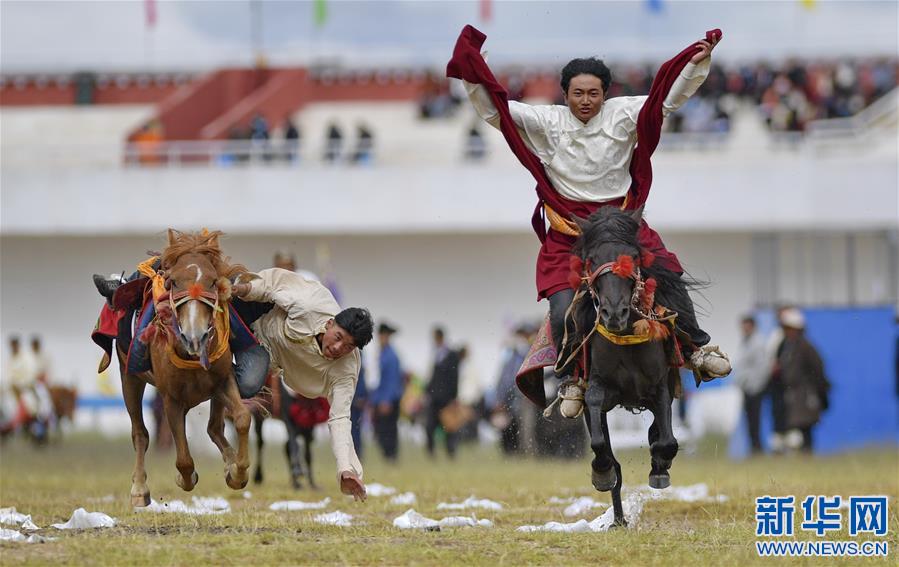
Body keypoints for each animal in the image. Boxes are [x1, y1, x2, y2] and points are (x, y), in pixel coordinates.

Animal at [118, 229, 253, 508]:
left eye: (213, 281)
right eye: (173, 282)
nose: (195, 336)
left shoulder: (223, 381)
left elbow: (242, 417)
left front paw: (237, 472)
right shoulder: (170, 398)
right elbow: (183, 459)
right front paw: (185, 478)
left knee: (214, 427)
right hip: (129, 378)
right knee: (140, 433)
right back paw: (139, 489)